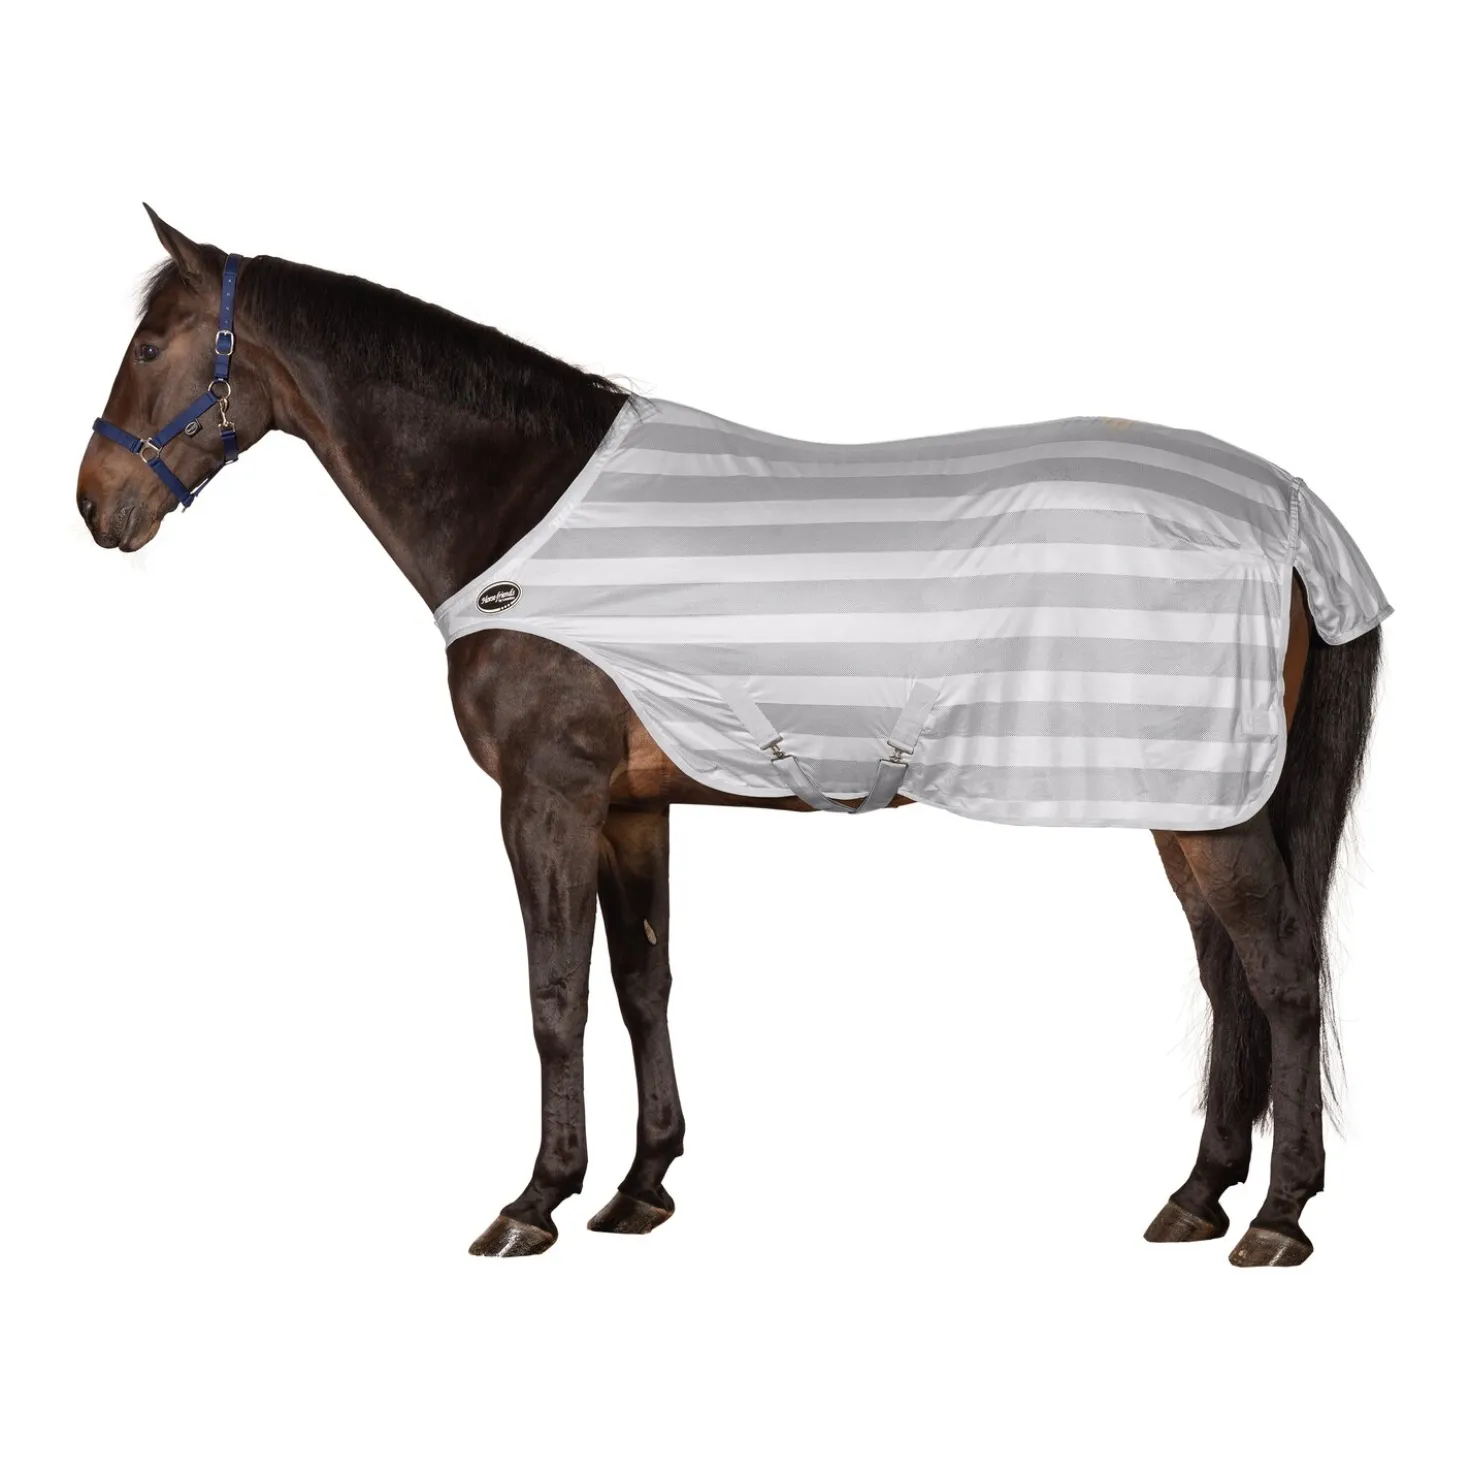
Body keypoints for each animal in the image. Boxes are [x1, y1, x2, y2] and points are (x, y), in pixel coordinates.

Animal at [75, 207, 1385, 1266]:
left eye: (150, 347)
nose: (95, 505)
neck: (522, 506)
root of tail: (1291, 512)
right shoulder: (627, 804)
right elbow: (641, 982)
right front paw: (639, 1187)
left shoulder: (543, 798)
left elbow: (554, 993)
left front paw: (534, 1202)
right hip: (1197, 800)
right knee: (1228, 978)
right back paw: (1199, 1195)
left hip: (1204, 804)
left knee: (1280, 974)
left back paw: (1278, 1218)